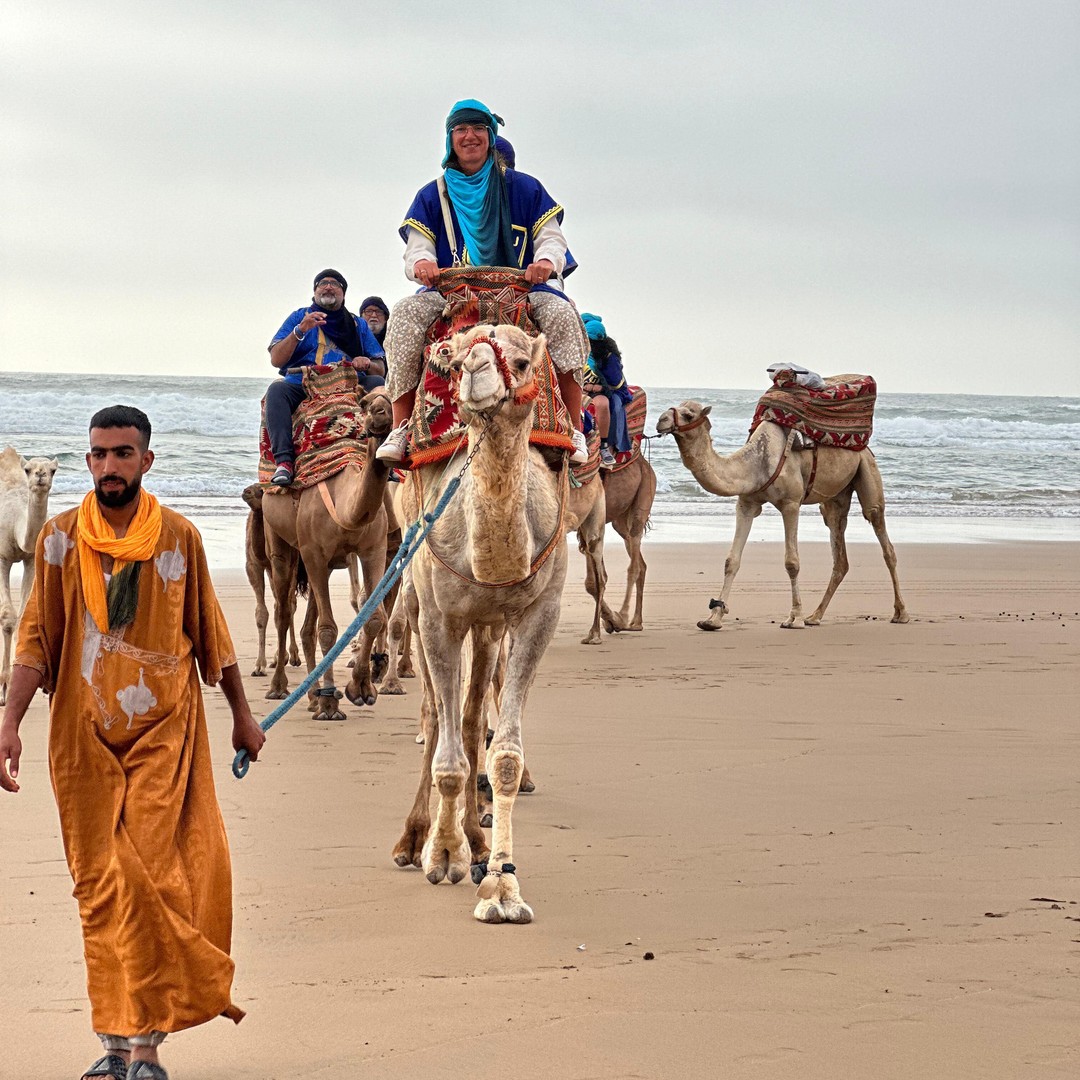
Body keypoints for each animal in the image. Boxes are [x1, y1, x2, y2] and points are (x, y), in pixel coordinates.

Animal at [260, 385, 395, 720]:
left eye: (392, 396)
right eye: (364, 403)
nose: (381, 412)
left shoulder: (372, 549)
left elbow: (373, 617)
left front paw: (360, 689)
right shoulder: (313, 553)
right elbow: (328, 631)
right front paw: (333, 705)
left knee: (307, 626)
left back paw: (312, 697)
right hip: (279, 540)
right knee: (284, 612)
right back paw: (279, 688)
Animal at [392, 323, 568, 924]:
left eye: (522, 359)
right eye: (454, 353)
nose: (472, 369)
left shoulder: (540, 613)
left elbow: (504, 755)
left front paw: (501, 887)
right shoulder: (439, 616)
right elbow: (445, 756)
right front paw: (442, 855)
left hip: (490, 628)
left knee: (470, 723)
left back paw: (474, 837)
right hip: (415, 598)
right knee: (434, 715)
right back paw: (414, 841)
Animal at [656, 401, 908, 629]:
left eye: (688, 414)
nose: (660, 420)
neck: (756, 464)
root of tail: (864, 447)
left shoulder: (791, 503)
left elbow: (792, 562)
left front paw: (794, 618)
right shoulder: (746, 503)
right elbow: (731, 561)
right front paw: (713, 619)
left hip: (867, 470)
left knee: (884, 539)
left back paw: (901, 613)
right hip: (834, 499)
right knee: (839, 552)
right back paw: (815, 616)